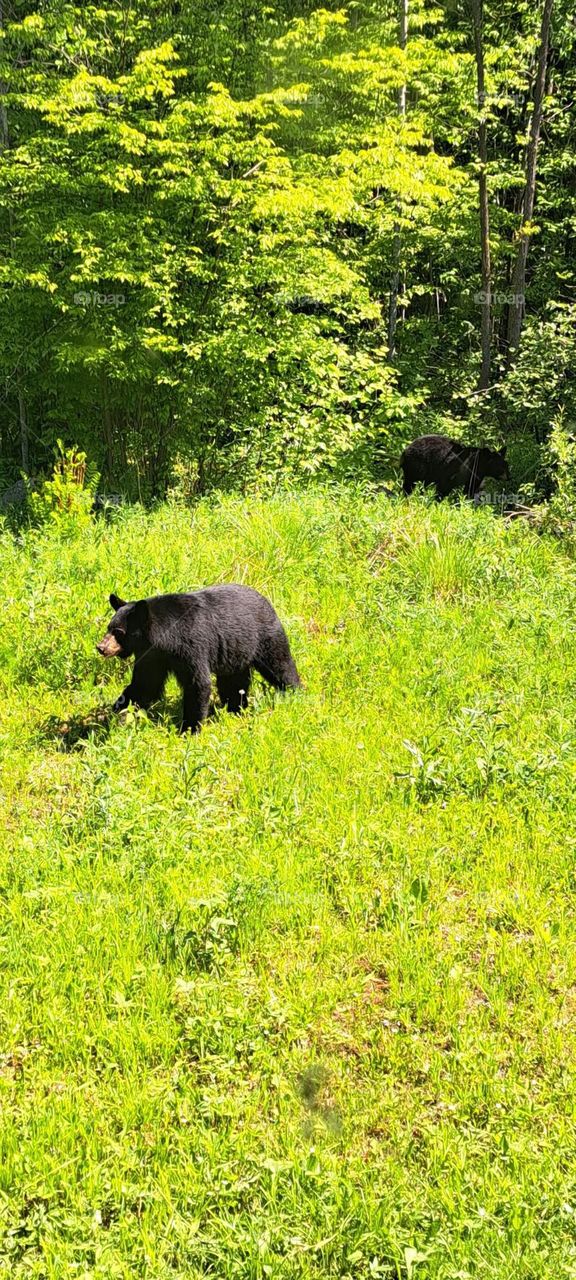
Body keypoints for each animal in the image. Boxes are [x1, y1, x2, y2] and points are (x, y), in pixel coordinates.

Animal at [97, 584, 301, 733]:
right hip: (235, 653)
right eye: (109, 627)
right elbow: (145, 684)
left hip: (265, 637)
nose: (101, 647)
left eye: (119, 632)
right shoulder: (152, 656)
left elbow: (197, 683)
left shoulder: (191, 646)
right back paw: (235, 709)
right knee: (233, 683)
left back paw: (294, 693)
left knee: (280, 666)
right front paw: (114, 712)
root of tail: (266, 599)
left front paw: (189, 729)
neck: (164, 639)